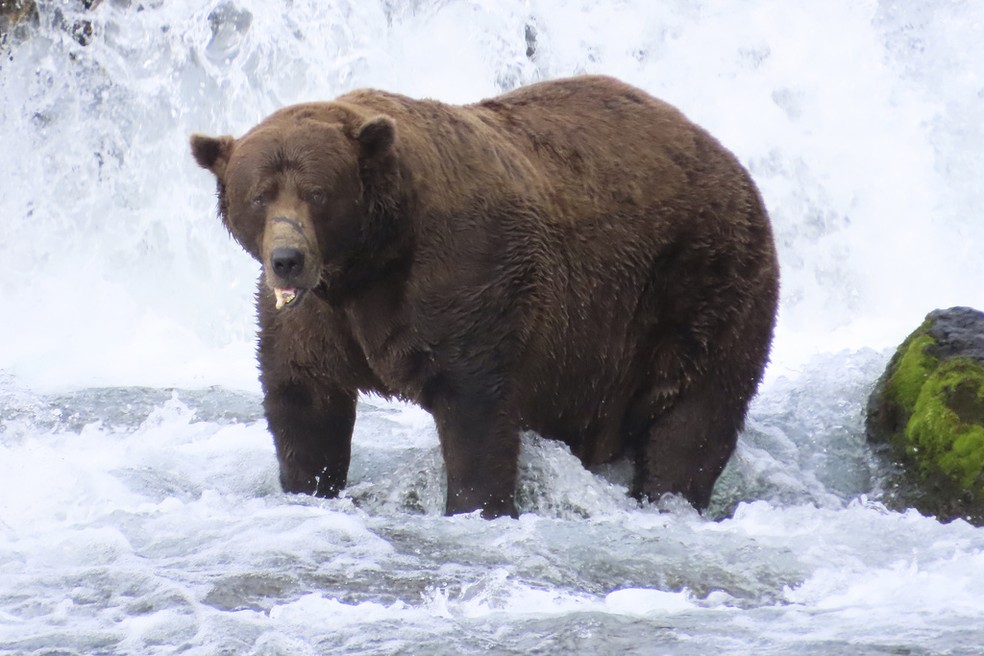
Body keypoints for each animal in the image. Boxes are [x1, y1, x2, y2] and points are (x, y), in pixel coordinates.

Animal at [190, 75, 779, 519]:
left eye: (317, 193)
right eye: (259, 195)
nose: (287, 258)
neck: (368, 263)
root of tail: (726, 156)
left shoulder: (466, 276)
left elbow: (475, 407)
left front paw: (477, 505)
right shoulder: (315, 318)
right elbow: (304, 399)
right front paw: (309, 485)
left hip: (699, 281)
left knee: (696, 413)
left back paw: (668, 496)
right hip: (597, 351)